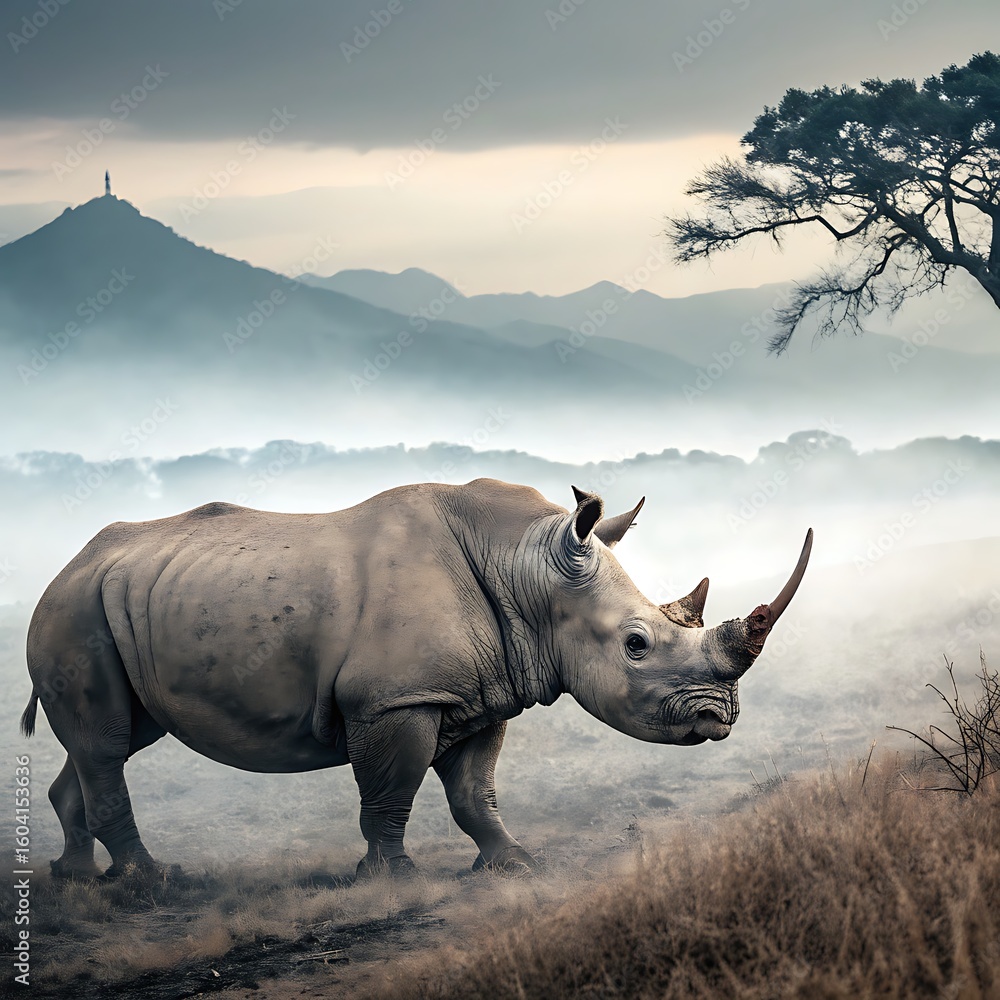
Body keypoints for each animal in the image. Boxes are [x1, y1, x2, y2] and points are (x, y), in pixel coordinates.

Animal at [21, 479, 811, 879]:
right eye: (636, 645)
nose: (719, 718)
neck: (526, 567)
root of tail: (62, 568)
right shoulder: (392, 700)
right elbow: (391, 787)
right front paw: (389, 879)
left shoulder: (483, 694)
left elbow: (473, 792)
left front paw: (512, 864)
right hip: (73, 612)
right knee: (107, 744)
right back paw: (149, 885)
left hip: (117, 602)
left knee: (113, 741)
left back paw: (75, 878)